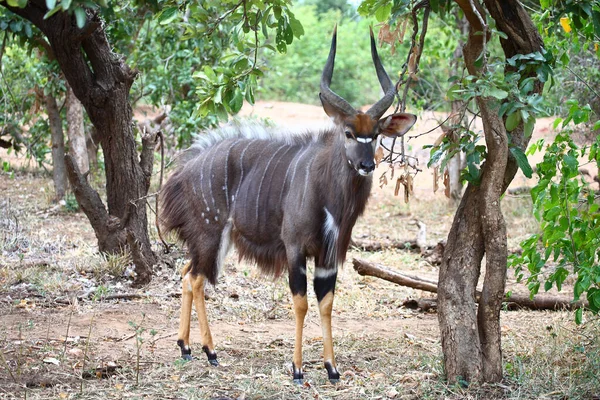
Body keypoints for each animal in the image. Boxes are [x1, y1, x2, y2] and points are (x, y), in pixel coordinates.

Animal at [159, 26, 418, 382]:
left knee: (187, 273)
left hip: (211, 241)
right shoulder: (295, 247)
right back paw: (210, 351)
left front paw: (332, 368)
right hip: (211, 234)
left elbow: (326, 301)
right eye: (348, 133)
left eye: (377, 134)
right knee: (197, 279)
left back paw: (185, 347)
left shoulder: (328, 254)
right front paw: (297, 369)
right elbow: (300, 302)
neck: (326, 194)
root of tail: (185, 169)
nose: (367, 165)